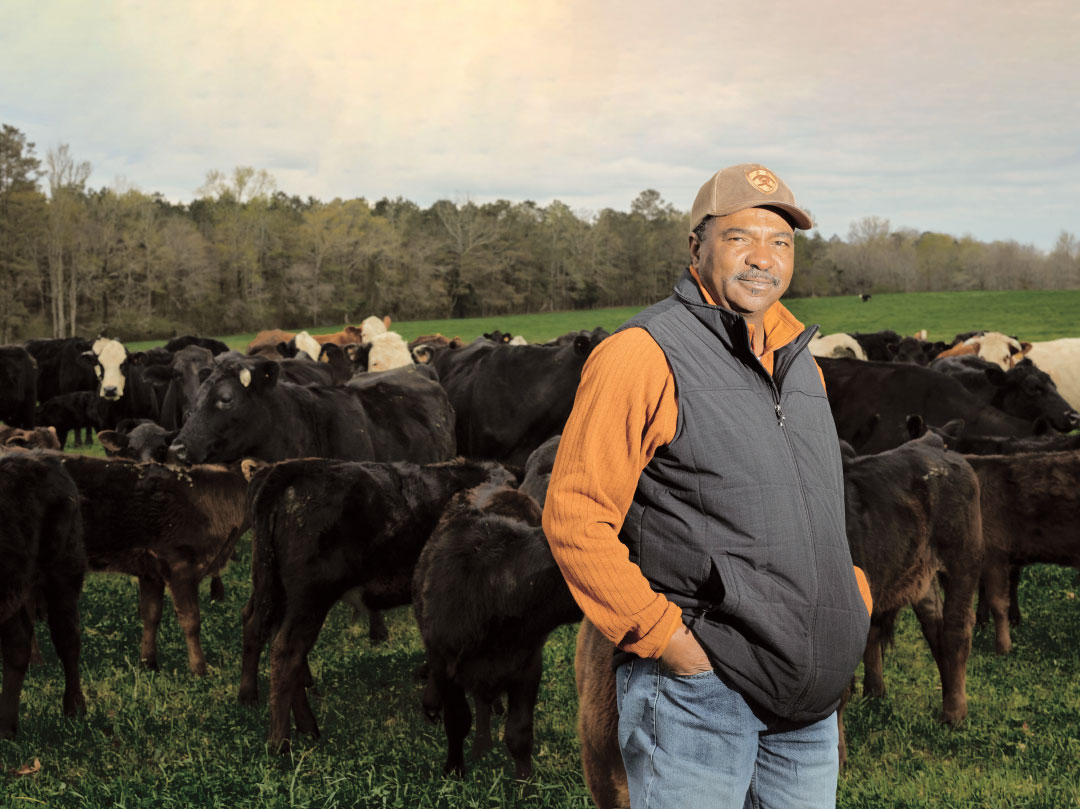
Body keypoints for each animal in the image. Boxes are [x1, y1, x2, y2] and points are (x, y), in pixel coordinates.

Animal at [236, 457, 514, 747]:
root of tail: (290, 468)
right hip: (309, 597)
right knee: (287, 650)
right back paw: (281, 741)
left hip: (271, 587)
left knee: (257, 626)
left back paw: (269, 709)